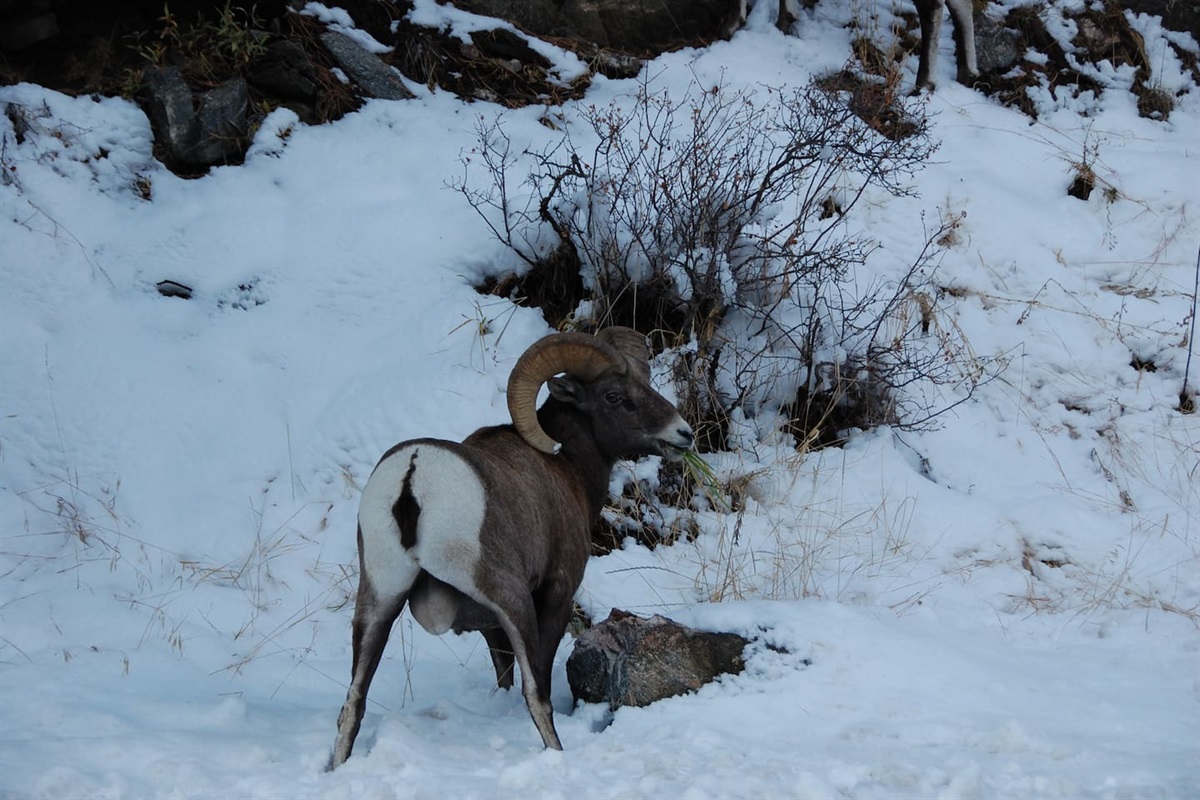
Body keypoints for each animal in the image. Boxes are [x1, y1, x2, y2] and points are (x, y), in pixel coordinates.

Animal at [329, 327, 694, 768]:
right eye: (613, 396)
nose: (683, 434)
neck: (567, 468)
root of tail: (412, 477)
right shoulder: (555, 593)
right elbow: (537, 675)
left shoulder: (489, 628)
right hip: (511, 596)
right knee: (536, 694)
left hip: (378, 599)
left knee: (353, 702)